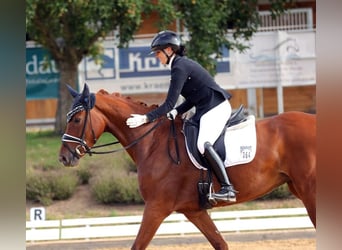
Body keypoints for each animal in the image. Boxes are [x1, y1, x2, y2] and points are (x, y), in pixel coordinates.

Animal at [58, 84, 316, 250]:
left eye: (77, 119)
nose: (63, 158)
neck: (152, 142)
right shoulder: (194, 210)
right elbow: (220, 243)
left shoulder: (156, 207)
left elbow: (138, 245)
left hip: (309, 193)